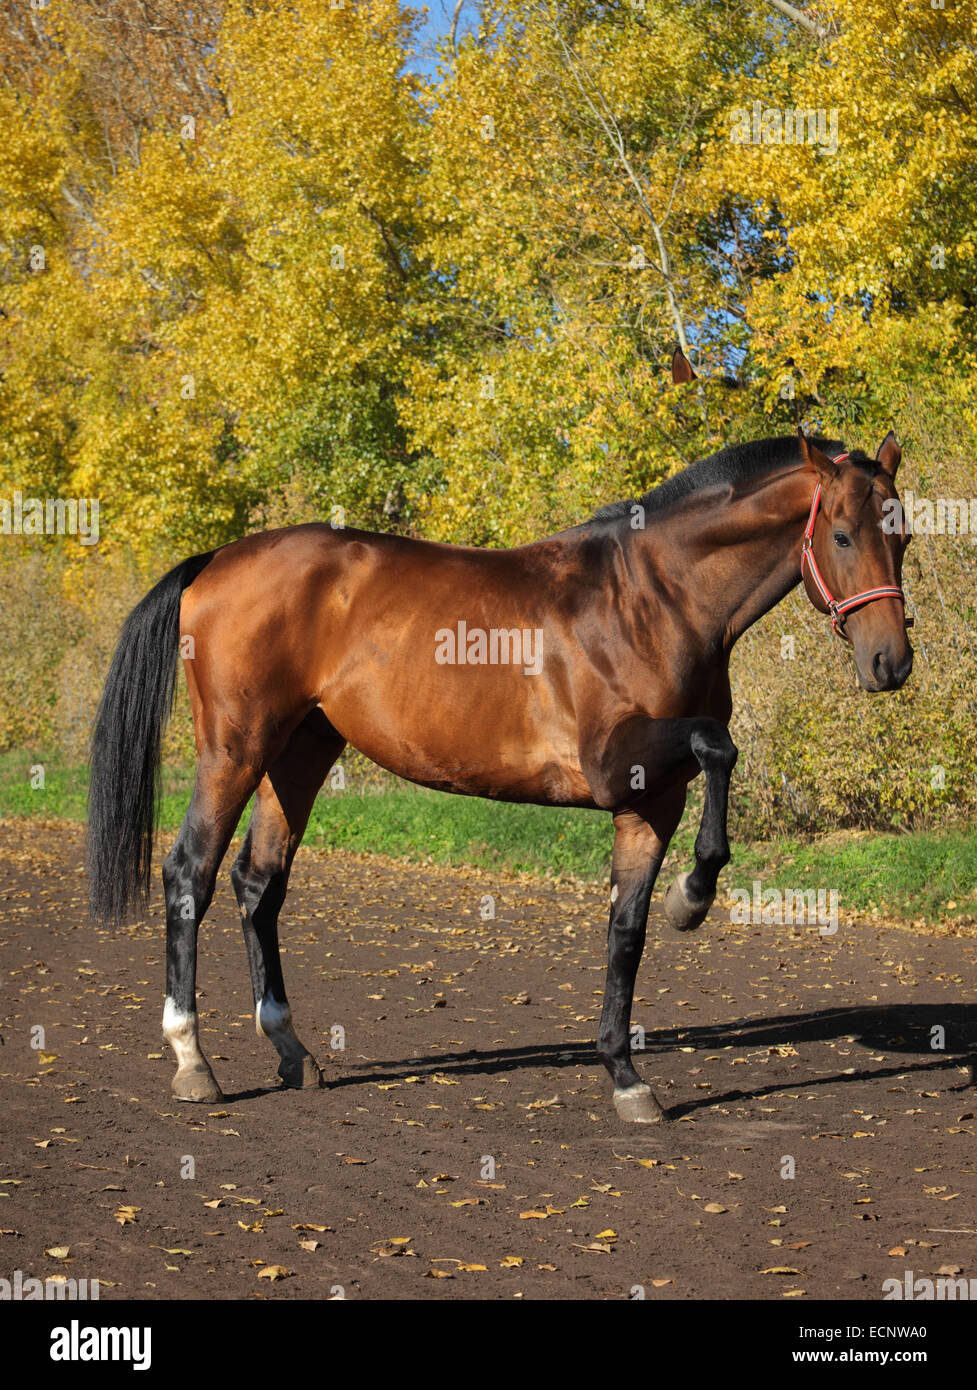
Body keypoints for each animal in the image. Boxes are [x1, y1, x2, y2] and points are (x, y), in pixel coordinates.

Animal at [87, 417, 911, 1123]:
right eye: (840, 535)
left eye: (901, 535)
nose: (890, 663)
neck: (653, 599)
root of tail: (215, 562)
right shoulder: (616, 763)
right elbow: (719, 746)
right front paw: (693, 898)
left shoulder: (653, 799)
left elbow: (626, 930)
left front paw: (626, 1073)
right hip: (236, 748)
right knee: (189, 872)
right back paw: (193, 1061)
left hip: (302, 750)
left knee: (259, 884)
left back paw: (293, 1053)